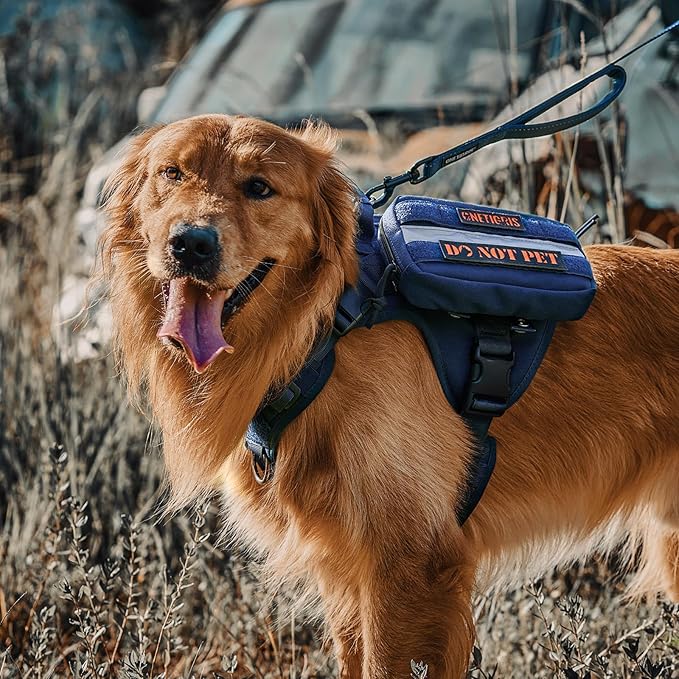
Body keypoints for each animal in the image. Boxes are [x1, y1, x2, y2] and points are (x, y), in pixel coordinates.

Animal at [99, 114, 679, 676]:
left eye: (259, 187)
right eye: (172, 174)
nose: (191, 243)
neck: (323, 330)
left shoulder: (412, 565)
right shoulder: (346, 570)